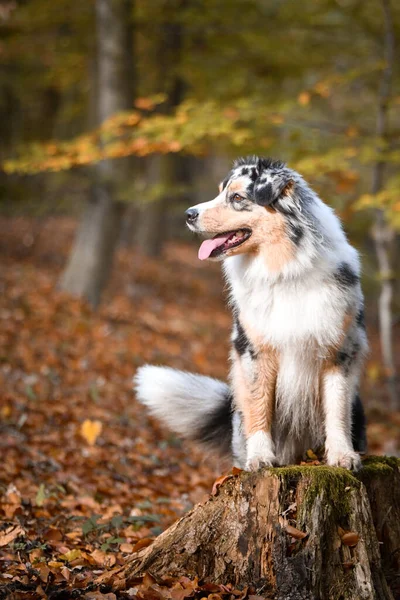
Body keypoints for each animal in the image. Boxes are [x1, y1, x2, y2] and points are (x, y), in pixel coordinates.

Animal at [135, 157, 368, 472]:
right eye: (220, 192)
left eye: (236, 197)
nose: (188, 214)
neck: (284, 271)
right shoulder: (254, 350)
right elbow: (259, 406)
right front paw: (259, 457)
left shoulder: (340, 350)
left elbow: (337, 409)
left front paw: (342, 455)